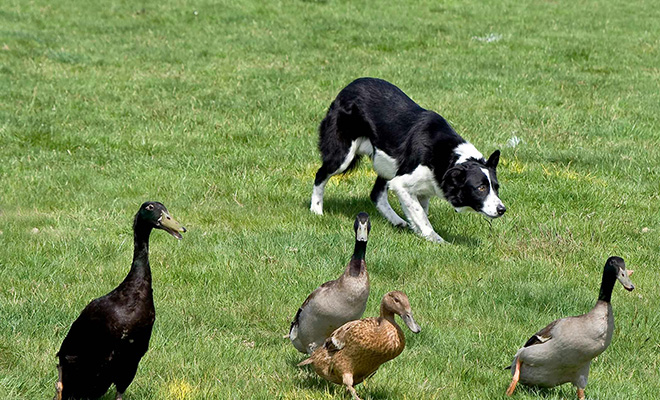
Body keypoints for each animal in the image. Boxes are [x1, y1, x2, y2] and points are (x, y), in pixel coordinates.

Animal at [310, 76, 506, 242]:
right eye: (480, 188)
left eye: (496, 187)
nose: (502, 210)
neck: (448, 157)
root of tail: (347, 88)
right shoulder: (402, 183)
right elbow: (421, 214)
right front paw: (437, 240)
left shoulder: (421, 188)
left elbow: (419, 212)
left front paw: (419, 233)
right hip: (343, 155)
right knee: (321, 174)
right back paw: (316, 210)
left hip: (386, 165)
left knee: (376, 194)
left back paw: (397, 221)